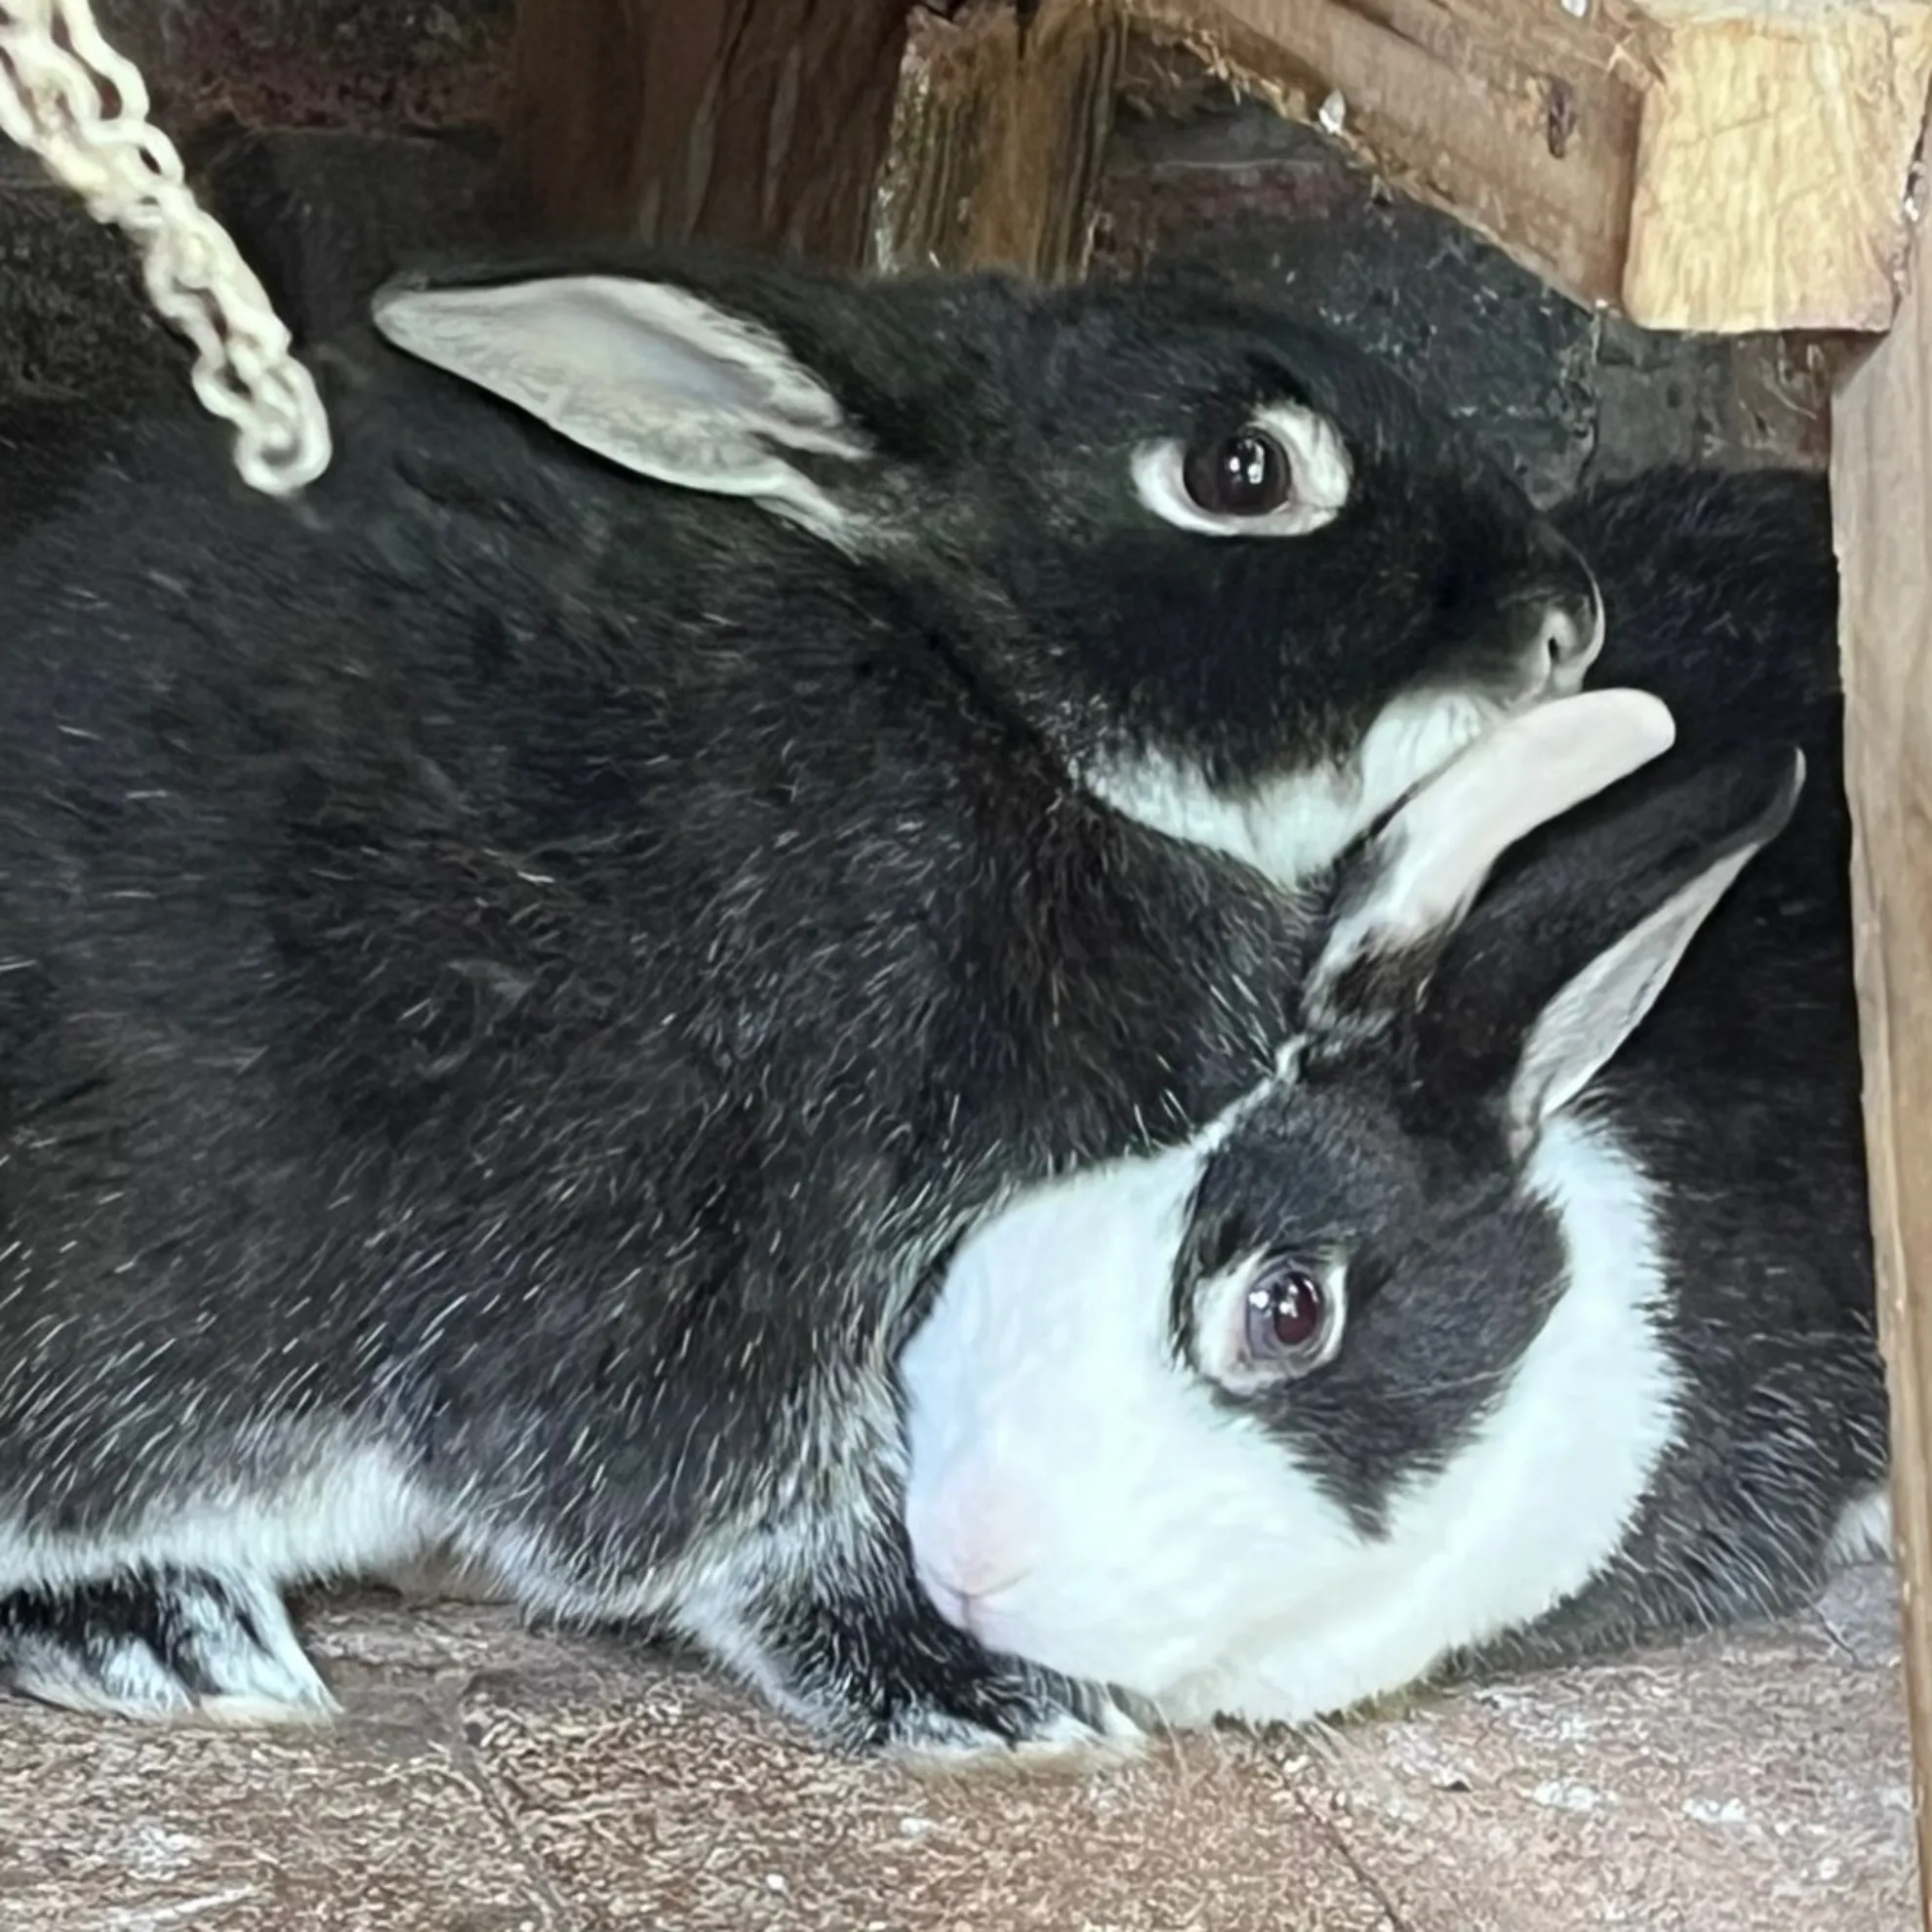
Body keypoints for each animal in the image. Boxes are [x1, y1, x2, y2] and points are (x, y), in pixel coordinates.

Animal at [0, 241, 1603, 1758]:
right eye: (1243, 471)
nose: (1569, 617)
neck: (1002, 713)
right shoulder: (724, 1227)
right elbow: (744, 1506)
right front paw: (977, 1697)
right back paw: (155, 1627)